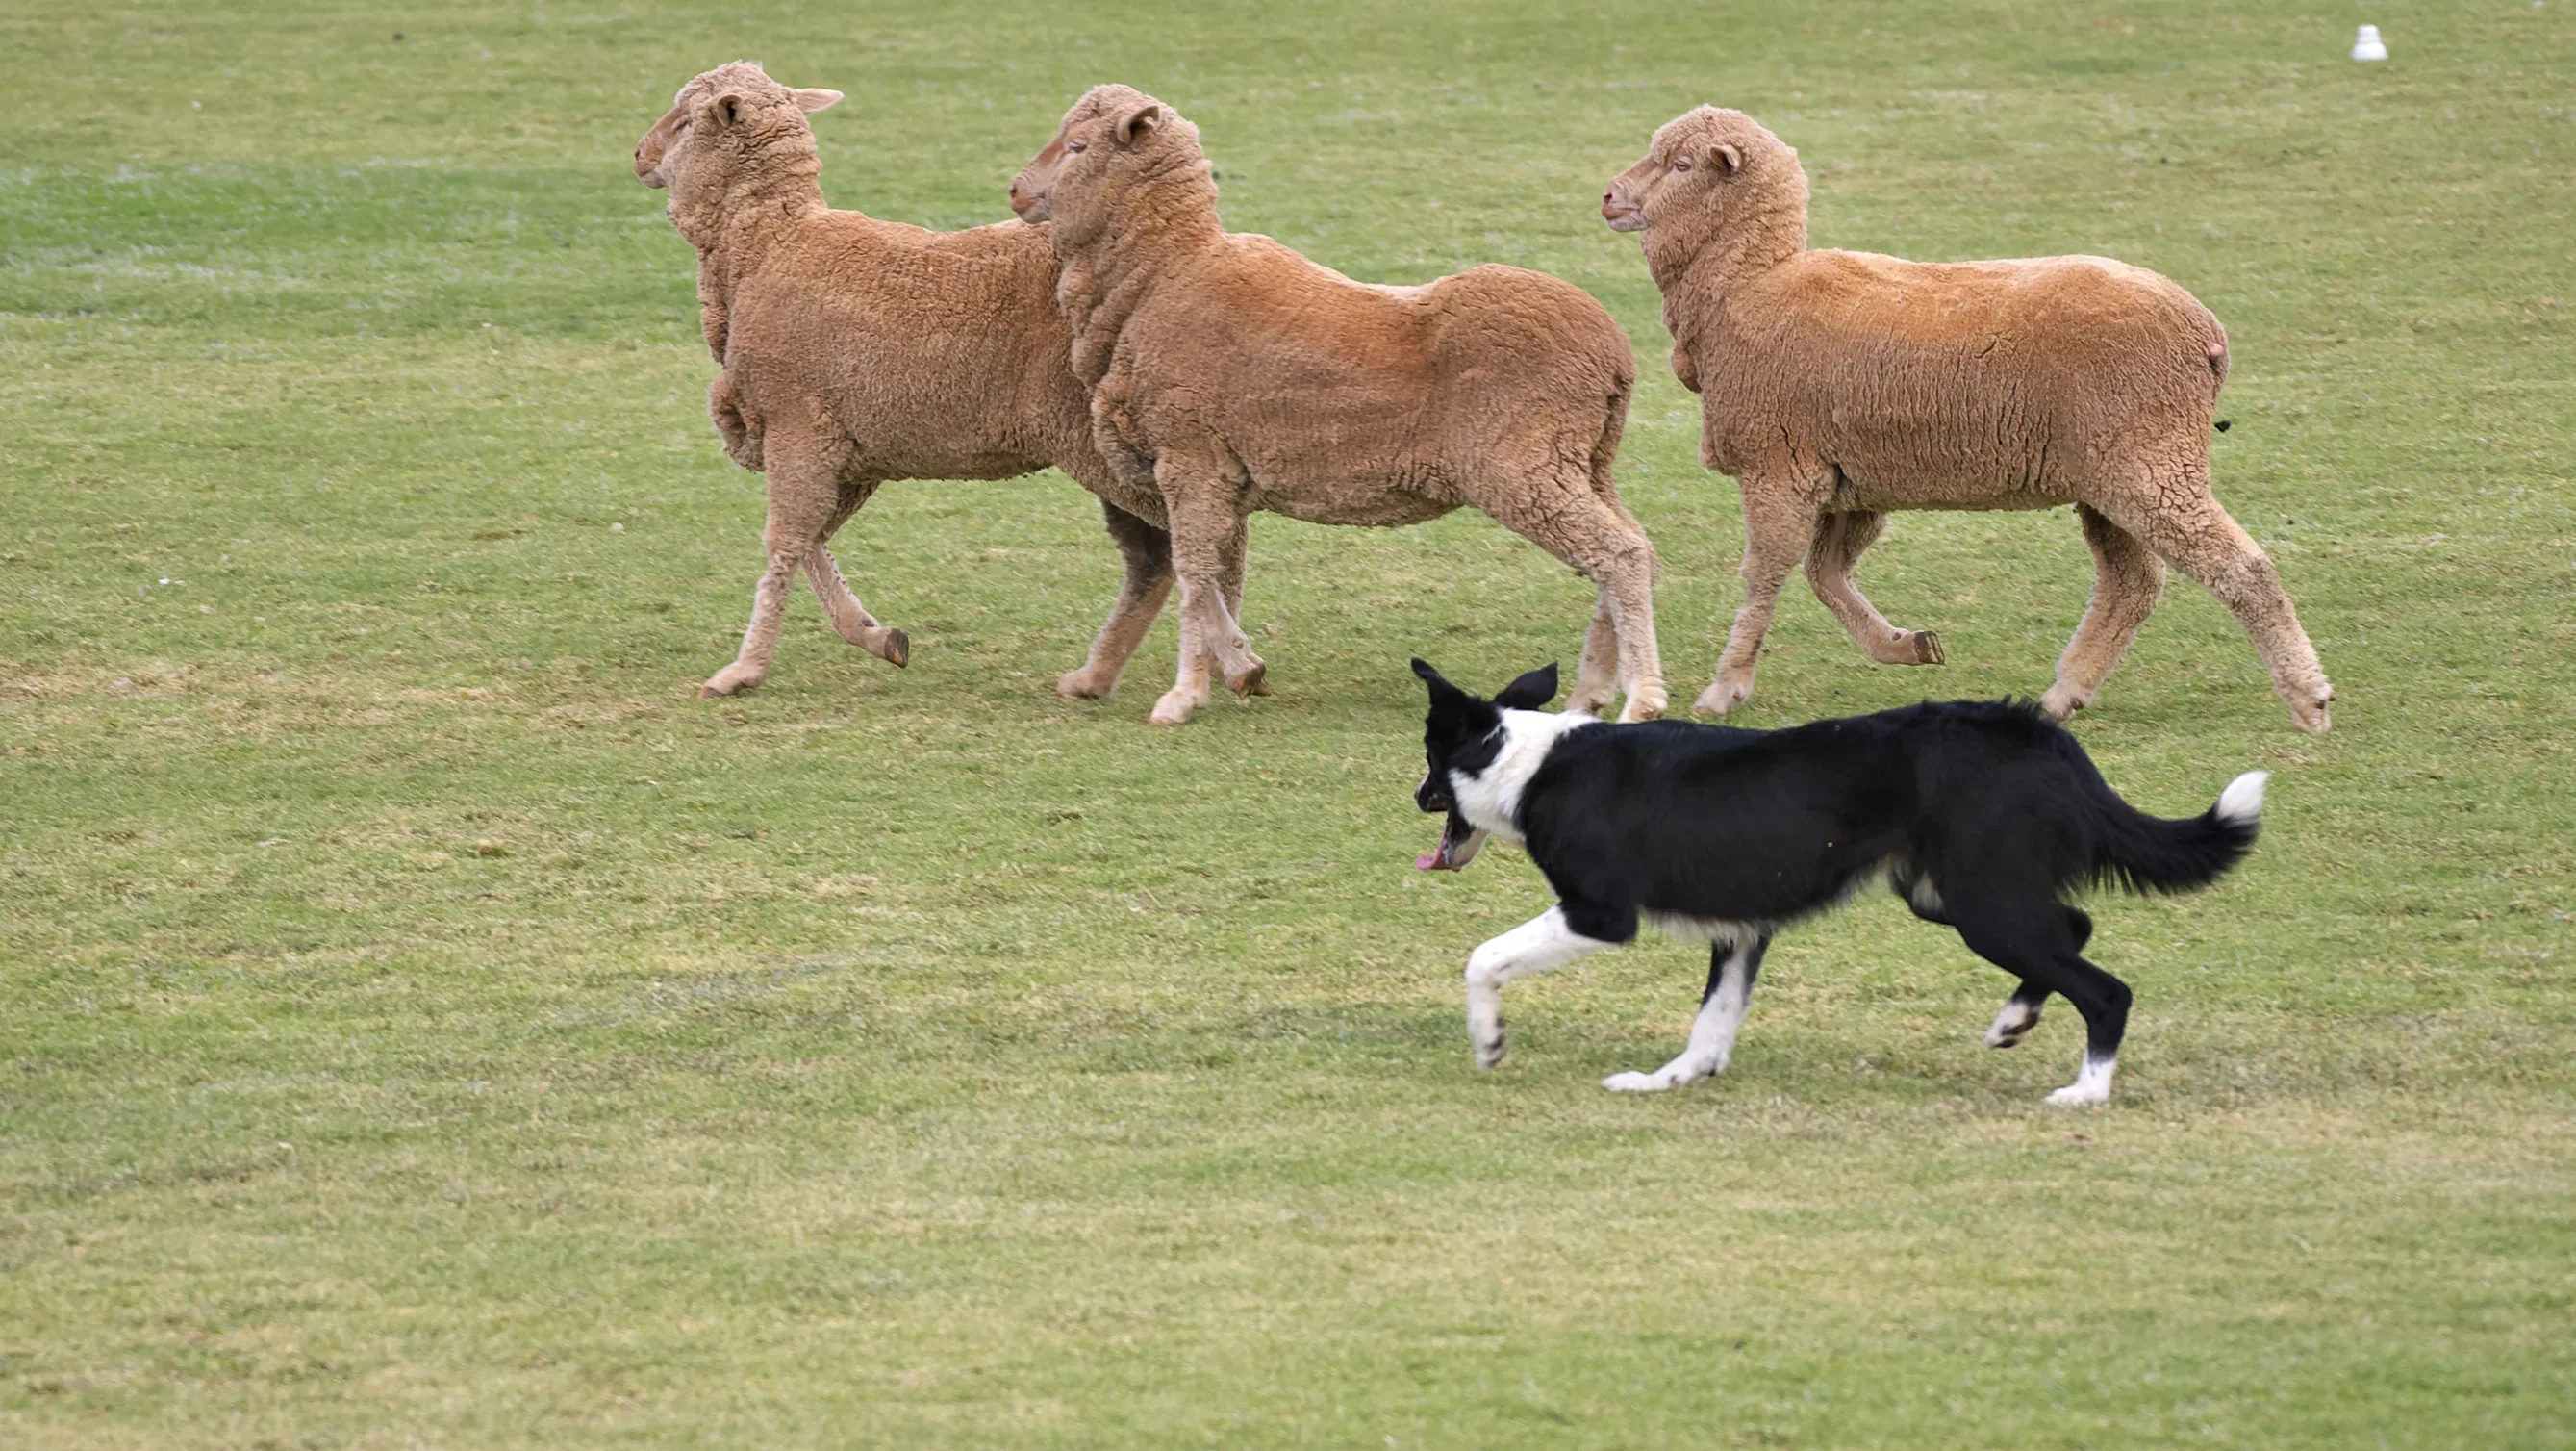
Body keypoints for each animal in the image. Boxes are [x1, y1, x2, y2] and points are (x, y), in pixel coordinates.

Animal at [635, 62, 1179, 701]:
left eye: (686, 119)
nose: (639, 154)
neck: (767, 246)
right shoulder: (846, 449)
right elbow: (813, 539)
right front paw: (875, 635)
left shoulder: (799, 424)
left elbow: (784, 541)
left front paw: (743, 670)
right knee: (1158, 554)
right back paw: (1115, 673)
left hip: (1106, 443)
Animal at [1007, 85, 1666, 726]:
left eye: (1078, 146)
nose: (1015, 189)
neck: (1162, 273)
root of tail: (1614, 352)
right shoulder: (1208, 472)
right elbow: (1209, 573)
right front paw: (1237, 665)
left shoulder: (1191, 456)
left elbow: (1194, 574)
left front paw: (1183, 695)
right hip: (1581, 461)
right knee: (1634, 549)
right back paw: (1591, 694)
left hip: (1524, 463)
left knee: (1619, 555)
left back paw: (1642, 697)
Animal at [1604, 106, 2334, 734]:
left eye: (1681, 164)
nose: (1609, 198)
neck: (1744, 285)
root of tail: (2206, 332)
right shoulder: (1850, 482)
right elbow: (1827, 576)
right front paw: (1905, 645)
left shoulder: (1778, 467)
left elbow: (1766, 576)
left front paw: (1725, 688)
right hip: (2113, 476)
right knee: (2130, 586)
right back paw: (2064, 694)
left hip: (2147, 460)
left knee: (2240, 569)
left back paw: (2309, 698)